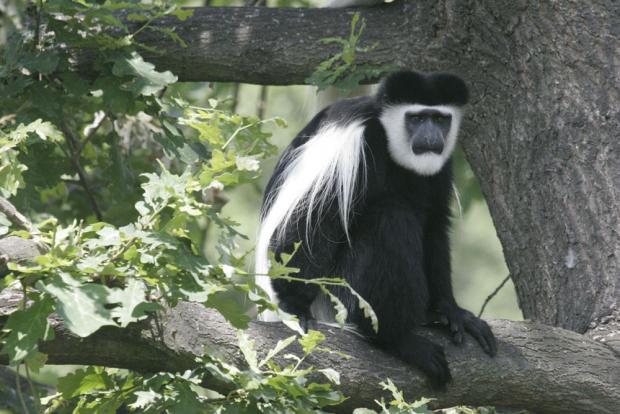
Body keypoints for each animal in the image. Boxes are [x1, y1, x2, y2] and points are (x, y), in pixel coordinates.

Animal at [256, 71, 498, 388]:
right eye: (417, 118)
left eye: (440, 118)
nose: (431, 137)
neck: (387, 137)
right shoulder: (352, 148)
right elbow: (308, 225)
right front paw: (295, 308)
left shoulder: (440, 168)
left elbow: (434, 227)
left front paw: (450, 311)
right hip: (339, 292)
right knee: (389, 217)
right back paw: (396, 339)